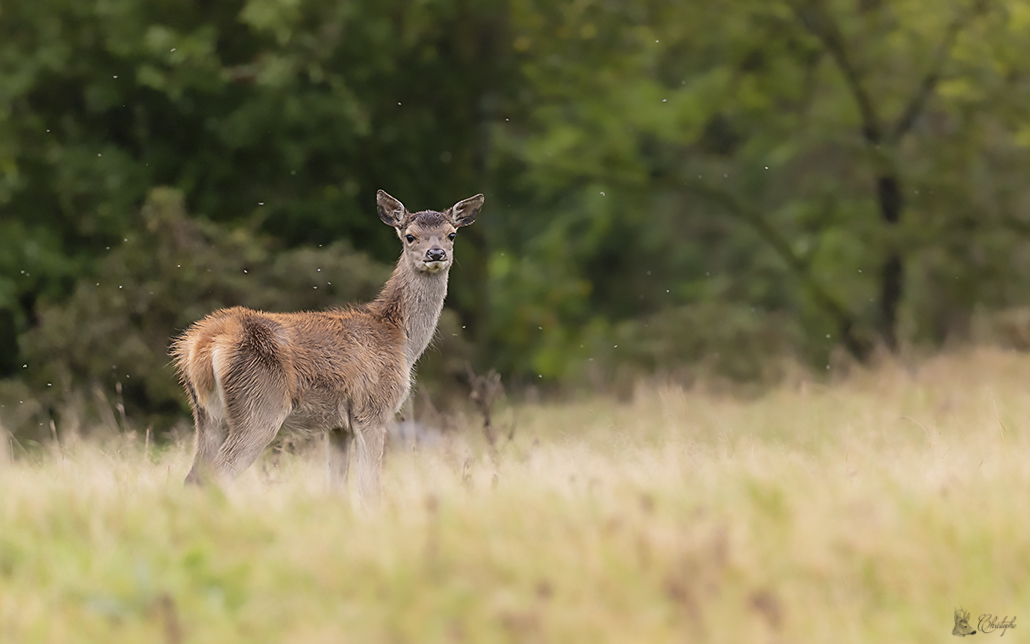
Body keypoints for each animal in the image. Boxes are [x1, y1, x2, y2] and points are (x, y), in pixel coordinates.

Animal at [170, 189, 484, 502]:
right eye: (410, 236)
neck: (398, 339)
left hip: (209, 416)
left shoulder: (338, 426)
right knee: (218, 474)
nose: (436, 253)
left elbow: (336, 489)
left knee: (192, 478)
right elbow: (369, 491)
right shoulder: (372, 409)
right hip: (259, 403)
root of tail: (201, 345)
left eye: (451, 234)